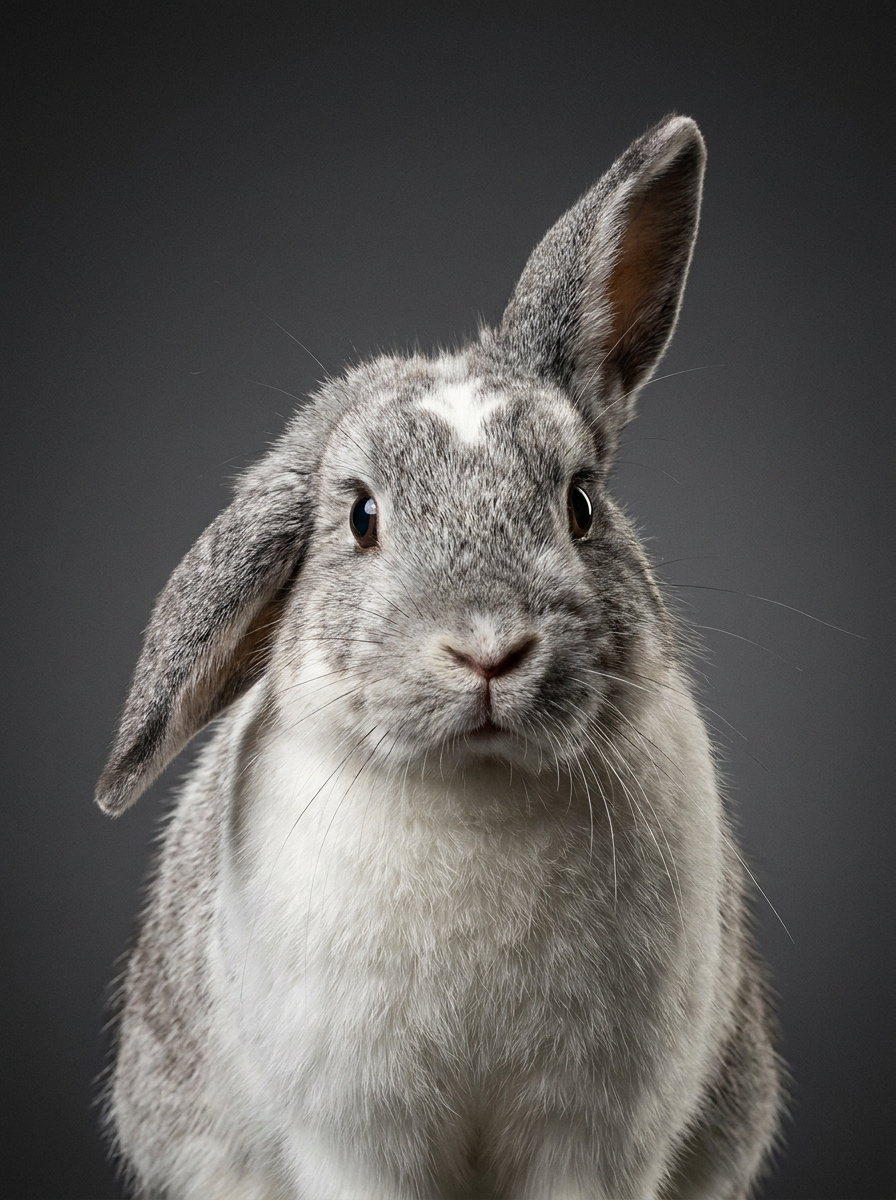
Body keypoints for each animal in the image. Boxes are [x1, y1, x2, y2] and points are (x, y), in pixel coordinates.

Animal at [96, 114, 782, 1200]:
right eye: (360, 517)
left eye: (580, 504)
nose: (489, 650)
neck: (476, 786)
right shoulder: (358, 1134)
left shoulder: (593, 1135)